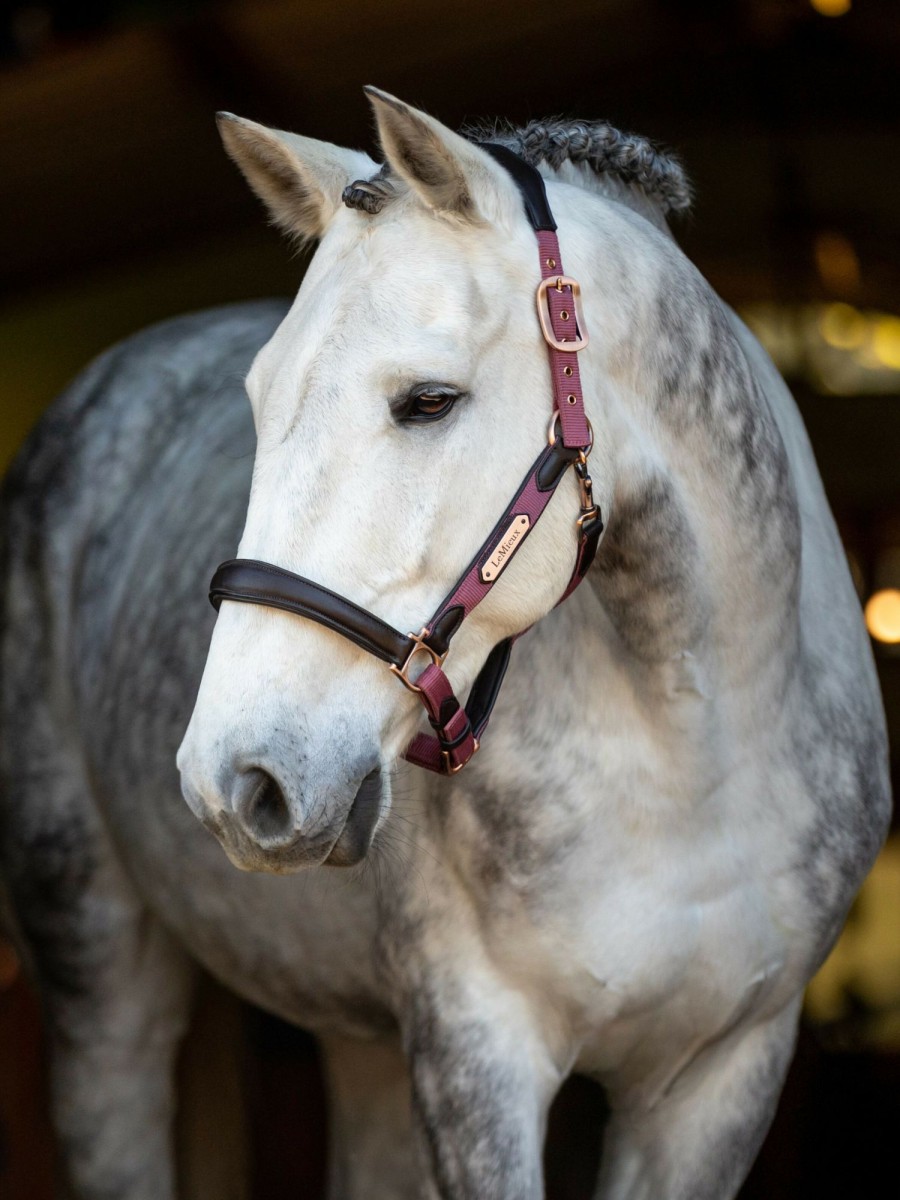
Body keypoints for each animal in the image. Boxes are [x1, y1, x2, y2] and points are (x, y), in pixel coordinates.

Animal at [0, 91, 897, 1200]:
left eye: (428, 400)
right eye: (258, 403)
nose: (236, 782)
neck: (696, 753)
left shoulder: (722, 1077)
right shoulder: (480, 1054)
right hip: (97, 969)